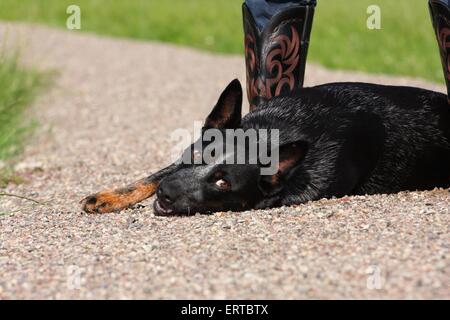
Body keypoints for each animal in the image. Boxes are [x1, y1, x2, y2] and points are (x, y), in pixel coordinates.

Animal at [81, 79, 450, 216]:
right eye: (196, 156)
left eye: (222, 182)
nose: (168, 195)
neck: (270, 136)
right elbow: (153, 175)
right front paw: (110, 196)